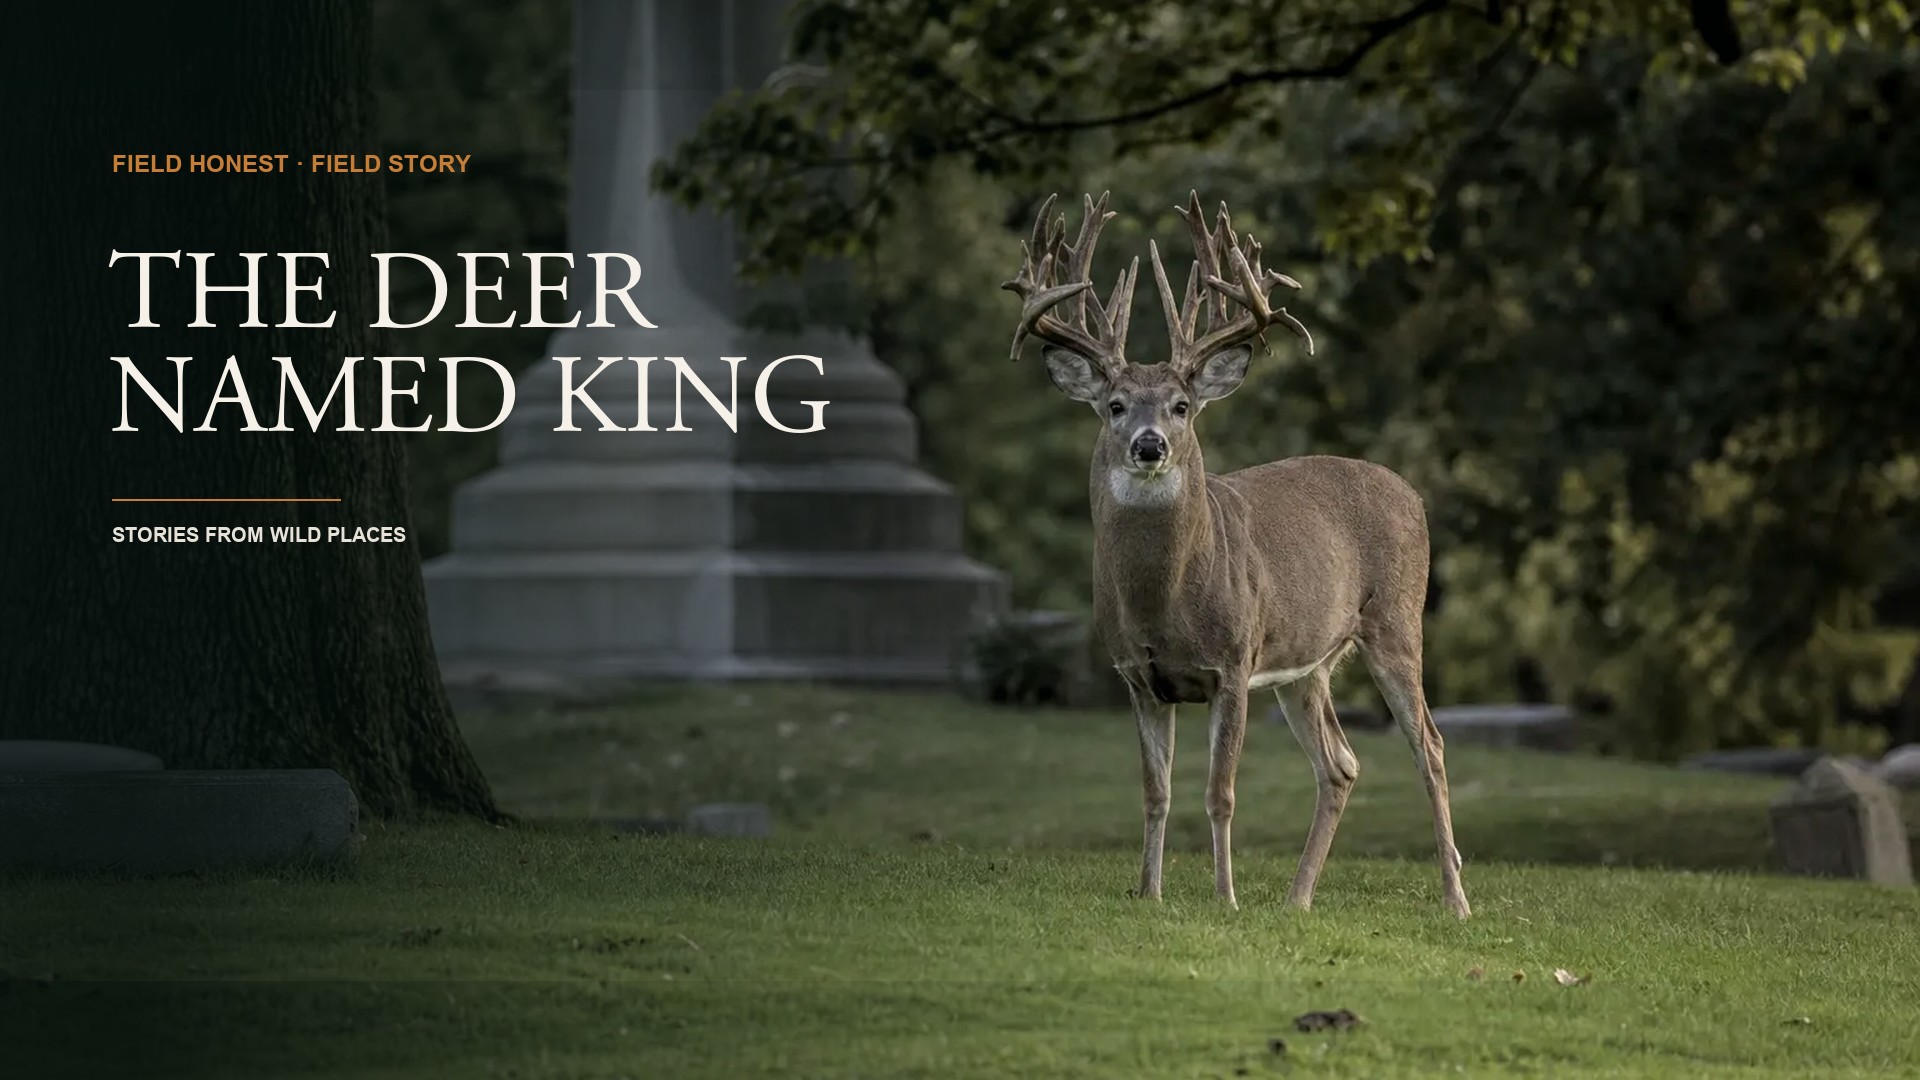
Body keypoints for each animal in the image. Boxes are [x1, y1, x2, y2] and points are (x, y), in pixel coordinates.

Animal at [1002, 190, 1470, 919]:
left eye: (1181, 406)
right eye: (1115, 405)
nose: (1149, 445)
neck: (1162, 601)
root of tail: (1410, 491)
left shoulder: (1233, 660)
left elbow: (1219, 794)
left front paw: (1225, 898)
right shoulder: (1137, 676)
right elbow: (1156, 792)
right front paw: (1149, 891)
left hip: (1396, 619)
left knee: (1432, 746)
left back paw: (1455, 900)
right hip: (1308, 663)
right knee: (1341, 763)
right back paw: (1297, 899)